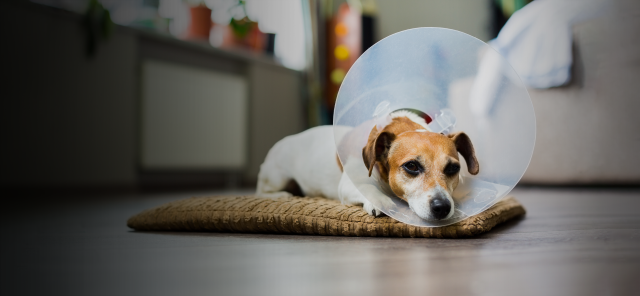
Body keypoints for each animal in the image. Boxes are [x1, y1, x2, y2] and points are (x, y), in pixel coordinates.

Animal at [258, 110, 478, 220]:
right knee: (263, 191)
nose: (442, 207)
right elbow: (367, 188)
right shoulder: (349, 183)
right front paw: (380, 201)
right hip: (277, 177)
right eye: (412, 166)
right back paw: (283, 195)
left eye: (453, 168)